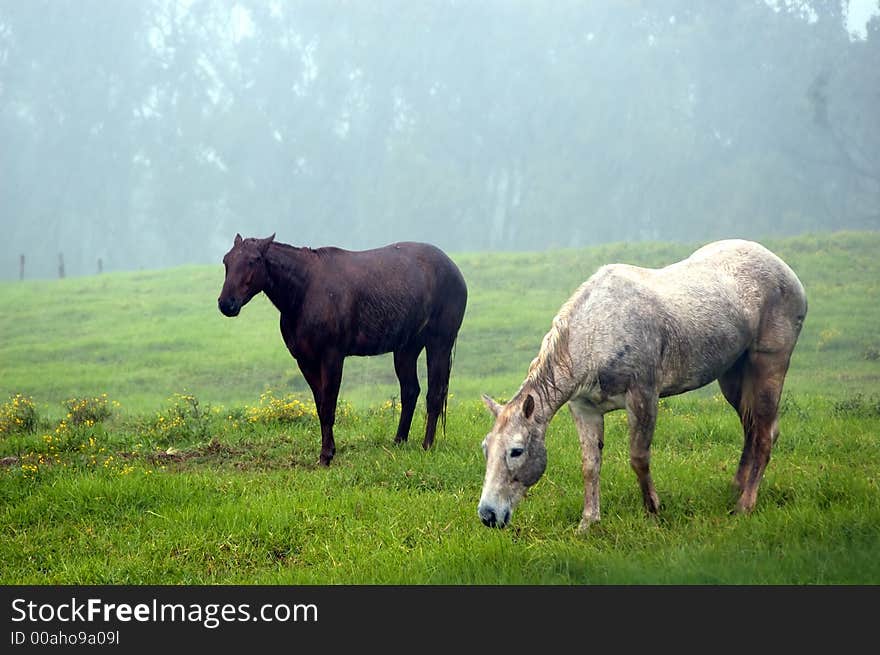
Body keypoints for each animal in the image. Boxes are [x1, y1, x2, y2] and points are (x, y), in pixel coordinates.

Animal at [218, 234, 468, 466]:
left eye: (253, 260)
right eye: (226, 260)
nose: (226, 304)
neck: (306, 289)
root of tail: (453, 269)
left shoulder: (332, 357)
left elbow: (329, 406)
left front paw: (326, 456)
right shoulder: (305, 361)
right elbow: (320, 407)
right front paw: (327, 452)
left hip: (439, 344)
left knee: (434, 394)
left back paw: (427, 445)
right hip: (406, 349)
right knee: (410, 392)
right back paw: (399, 441)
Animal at [478, 241, 808, 532]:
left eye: (516, 451)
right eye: (485, 448)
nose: (488, 515)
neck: (597, 333)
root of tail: (787, 271)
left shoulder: (643, 395)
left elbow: (639, 458)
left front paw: (653, 511)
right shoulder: (584, 407)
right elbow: (590, 465)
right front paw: (588, 523)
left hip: (768, 365)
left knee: (764, 435)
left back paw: (745, 505)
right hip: (733, 375)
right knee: (753, 429)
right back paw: (736, 487)